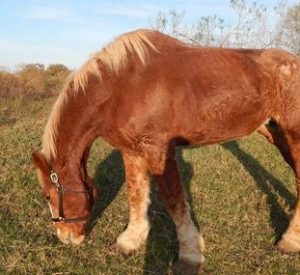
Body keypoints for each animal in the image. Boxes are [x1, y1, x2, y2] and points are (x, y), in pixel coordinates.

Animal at [32, 29, 300, 272]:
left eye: (48, 196)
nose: (66, 237)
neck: (121, 86)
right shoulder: (131, 151)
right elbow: (136, 194)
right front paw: (130, 240)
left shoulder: (159, 151)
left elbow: (173, 200)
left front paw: (190, 254)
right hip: (274, 133)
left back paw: (289, 241)